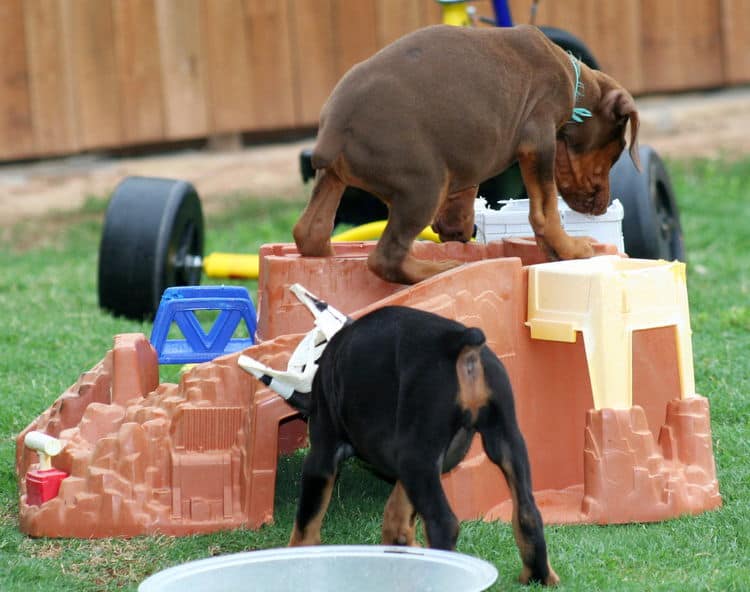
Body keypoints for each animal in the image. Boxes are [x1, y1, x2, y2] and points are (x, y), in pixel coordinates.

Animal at [290, 308, 560, 584]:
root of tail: (458, 340)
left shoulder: (322, 457)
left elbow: (306, 524)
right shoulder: (411, 467)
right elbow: (397, 514)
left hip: (417, 455)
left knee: (444, 522)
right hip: (506, 439)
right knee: (528, 513)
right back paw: (539, 577)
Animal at [294, 26, 640, 286]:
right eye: (615, 153)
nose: (599, 207)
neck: (574, 80)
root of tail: (331, 138)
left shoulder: (470, 151)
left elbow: (465, 194)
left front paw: (456, 229)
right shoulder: (538, 140)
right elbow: (546, 211)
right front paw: (571, 249)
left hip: (334, 179)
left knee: (309, 233)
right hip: (422, 185)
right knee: (385, 258)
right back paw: (440, 269)